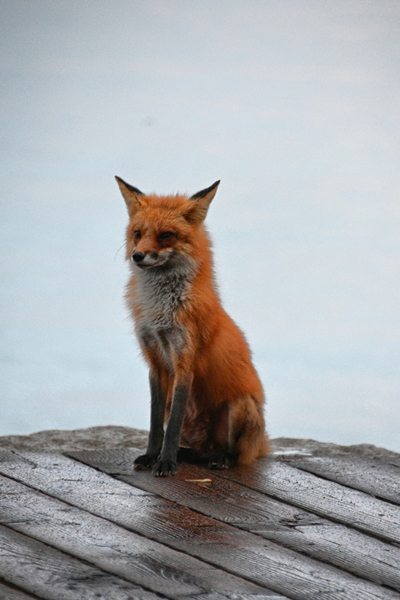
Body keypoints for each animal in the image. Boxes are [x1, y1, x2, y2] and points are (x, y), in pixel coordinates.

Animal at [117, 176, 270, 476]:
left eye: (166, 235)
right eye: (138, 233)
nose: (137, 256)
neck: (162, 311)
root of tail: (261, 444)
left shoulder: (184, 363)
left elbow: (173, 427)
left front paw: (165, 463)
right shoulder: (155, 363)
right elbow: (156, 425)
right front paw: (152, 456)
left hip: (238, 407)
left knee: (232, 453)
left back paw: (219, 458)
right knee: (197, 450)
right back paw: (189, 454)